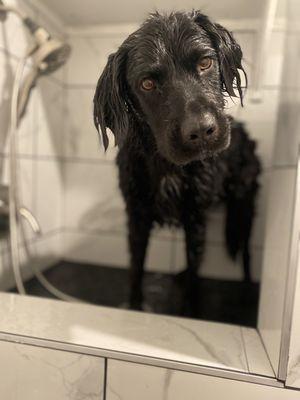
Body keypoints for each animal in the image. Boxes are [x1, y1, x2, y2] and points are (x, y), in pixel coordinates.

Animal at [93, 10, 260, 314]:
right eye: (147, 83)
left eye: (205, 63)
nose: (202, 131)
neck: (168, 166)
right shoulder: (137, 215)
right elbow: (136, 269)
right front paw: (134, 307)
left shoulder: (195, 217)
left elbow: (195, 274)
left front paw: (190, 312)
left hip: (243, 204)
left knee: (245, 253)